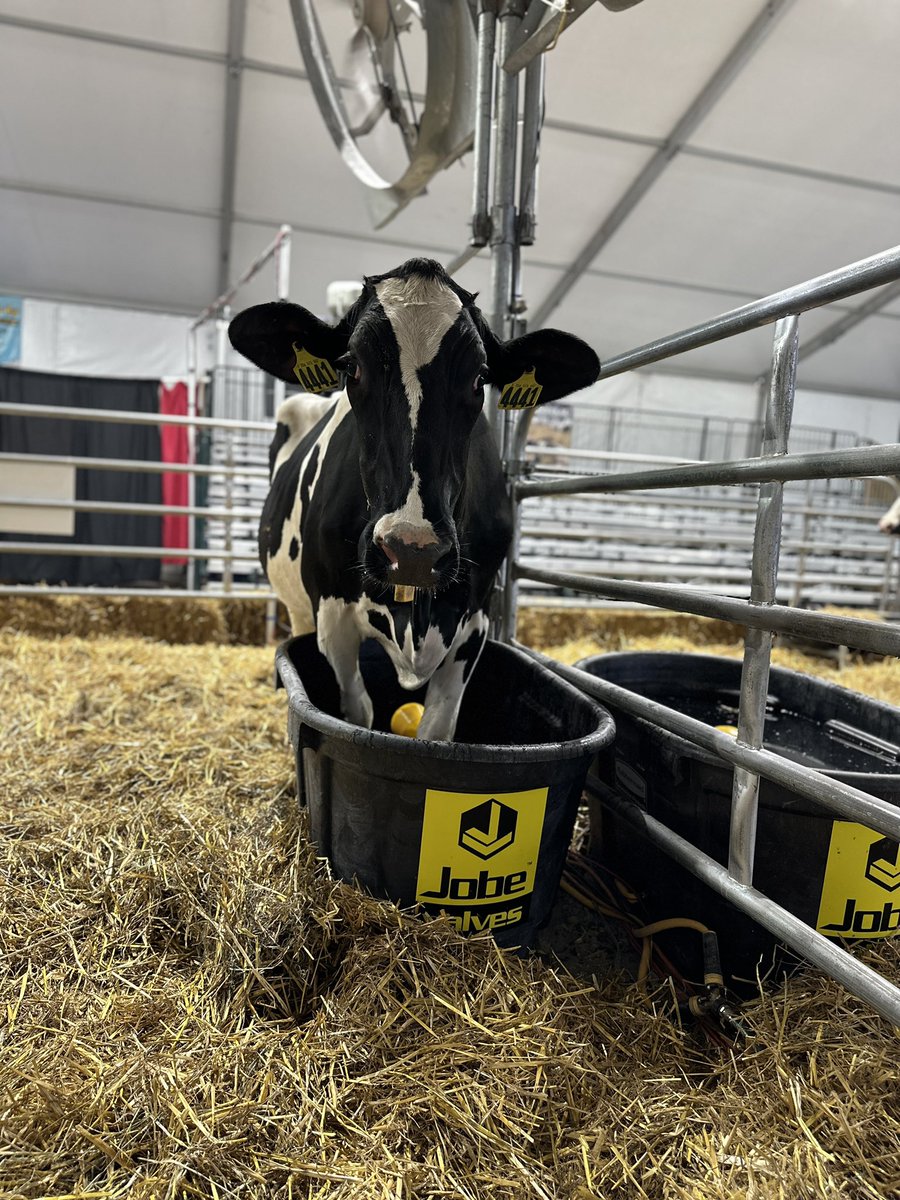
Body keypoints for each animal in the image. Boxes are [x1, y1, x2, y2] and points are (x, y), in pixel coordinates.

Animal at [229, 258, 600, 740]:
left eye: (479, 377)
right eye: (352, 366)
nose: (411, 550)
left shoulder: (473, 621)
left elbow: (436, 731)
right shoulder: (333, 619)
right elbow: (357, 712)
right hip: (298, 603)